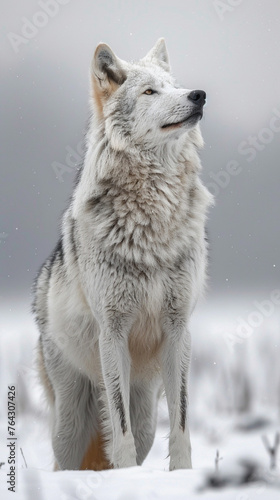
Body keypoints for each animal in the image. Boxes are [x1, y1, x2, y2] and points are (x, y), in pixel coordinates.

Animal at [32, 37, 212, 470]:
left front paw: (183, 474)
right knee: (68, 458)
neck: (153, 221)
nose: (198, 95)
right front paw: (125, 475)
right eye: (149, 92)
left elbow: (181, 421)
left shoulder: (179, 328)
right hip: (69, 424)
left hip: (146, 411)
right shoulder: (112, 331)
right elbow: (119, 424)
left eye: (175, 86)